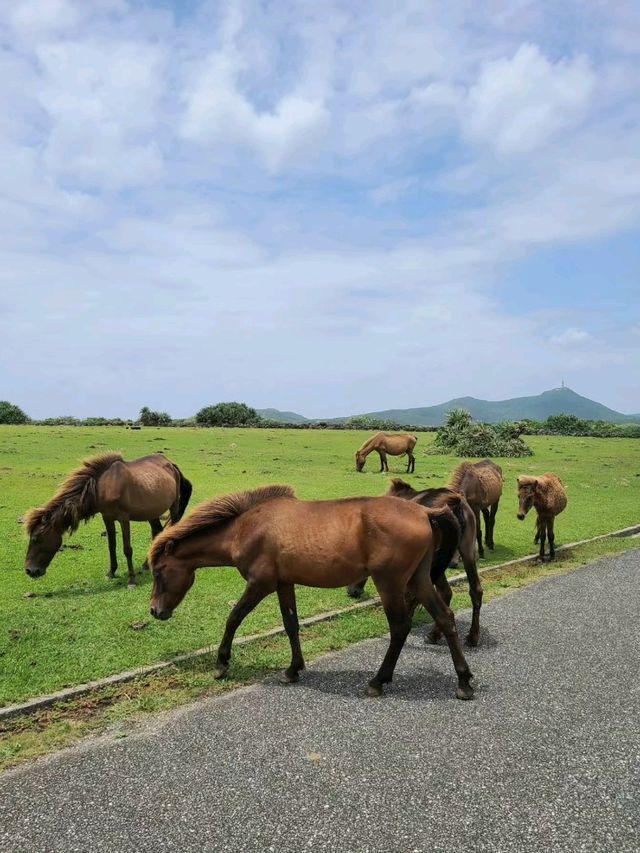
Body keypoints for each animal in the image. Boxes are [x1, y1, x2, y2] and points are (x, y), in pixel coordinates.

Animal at [24, 452, 192, 587]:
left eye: (35, 538)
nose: (29, 570)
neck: (103, 487)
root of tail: (171, 464)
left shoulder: (124, 519)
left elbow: (127, 549)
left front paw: (131, 579)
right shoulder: (107, 518)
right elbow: (112, 546)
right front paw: (111, 572)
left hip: (173, 506)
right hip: (151, 512)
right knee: (157, 532)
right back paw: (147, 564)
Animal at [148, 484, 474, 700]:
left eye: (158, 571)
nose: (155, 610)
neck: (246, 528)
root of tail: (425, 511)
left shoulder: (260, 584)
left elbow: (234, 618)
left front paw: (221, 663)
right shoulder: (284, 584)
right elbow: (291, 624)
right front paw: (293, 669)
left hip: (390, 583)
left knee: (399, 627)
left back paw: (378, 681)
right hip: (418, 580)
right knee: (445, 618)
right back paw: (464, 681)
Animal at [347, 478, 484, 647]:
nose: (352, 592)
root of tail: (455, 504)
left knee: (444, 592)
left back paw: (432, 634)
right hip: (466, 552)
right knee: (474, 590)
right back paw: (472, 636)